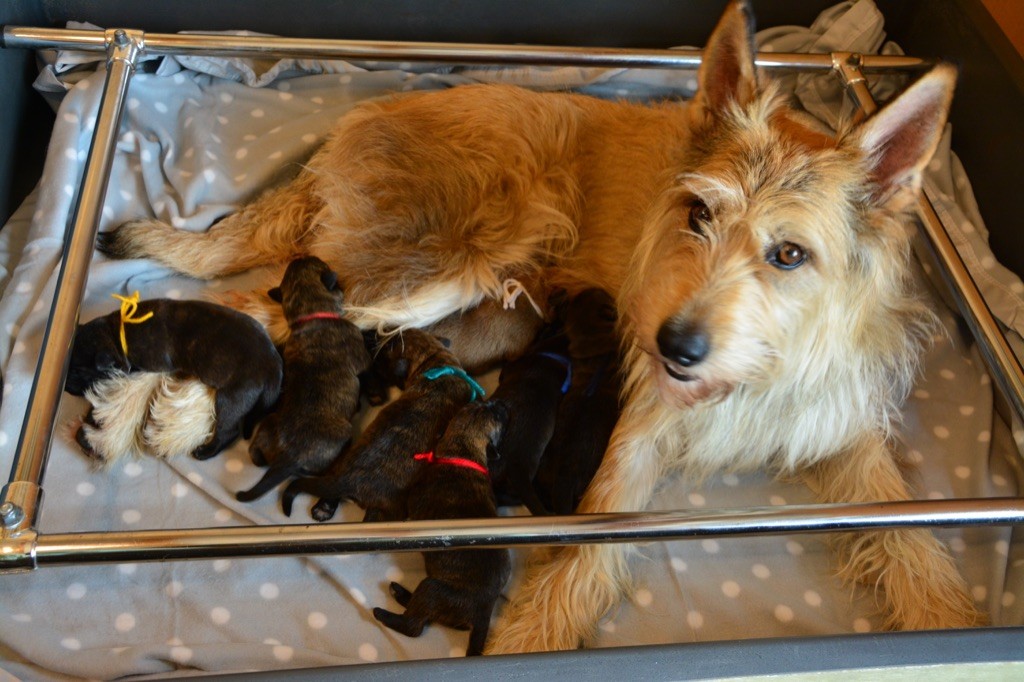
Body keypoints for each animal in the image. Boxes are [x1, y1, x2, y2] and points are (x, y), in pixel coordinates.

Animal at [66, 296, 282, 460]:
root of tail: (272, 366)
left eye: (77, 371)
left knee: (229, 430)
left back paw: (205, 452)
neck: (117, 333)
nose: (65, 387)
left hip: (231, 399)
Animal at [236, 257, 371, 502]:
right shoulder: (360, 354)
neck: (310, 314)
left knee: (255, 454)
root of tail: (287, 458)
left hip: (268, 425)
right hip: (343, 434)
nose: (302, 255)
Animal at [372, 400, 511, 656]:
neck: (461, 450)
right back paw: (401, 593)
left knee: (414, 625)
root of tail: (484, 611)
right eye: (487, 406)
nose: (504, 403)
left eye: (496, 413)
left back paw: (385, 613)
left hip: (432, 588)